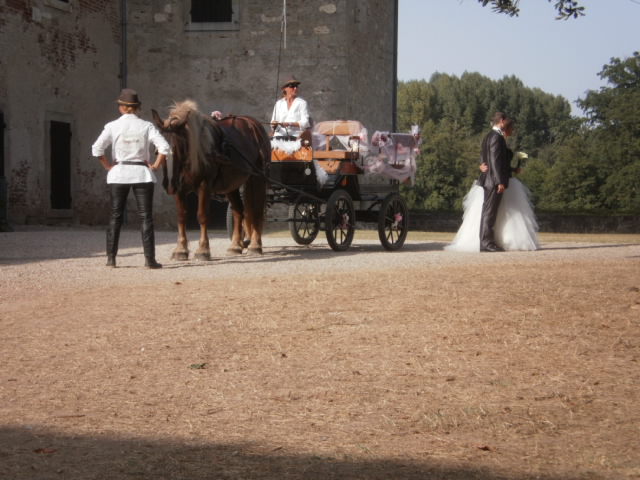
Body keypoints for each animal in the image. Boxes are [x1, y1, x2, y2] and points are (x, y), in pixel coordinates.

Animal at [152, 99, 270, 260]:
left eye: (178, 148)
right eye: (157, 149)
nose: (169, 184)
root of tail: (253, 124)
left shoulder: (204, 186)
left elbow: (202, 215)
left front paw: (203, 250)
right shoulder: (180, 188)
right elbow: (181, 216)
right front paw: (180, 249)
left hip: (257, 178)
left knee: (256, 210)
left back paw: (255, 246)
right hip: (231, 184)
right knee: (238, 211)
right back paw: (235, 246)